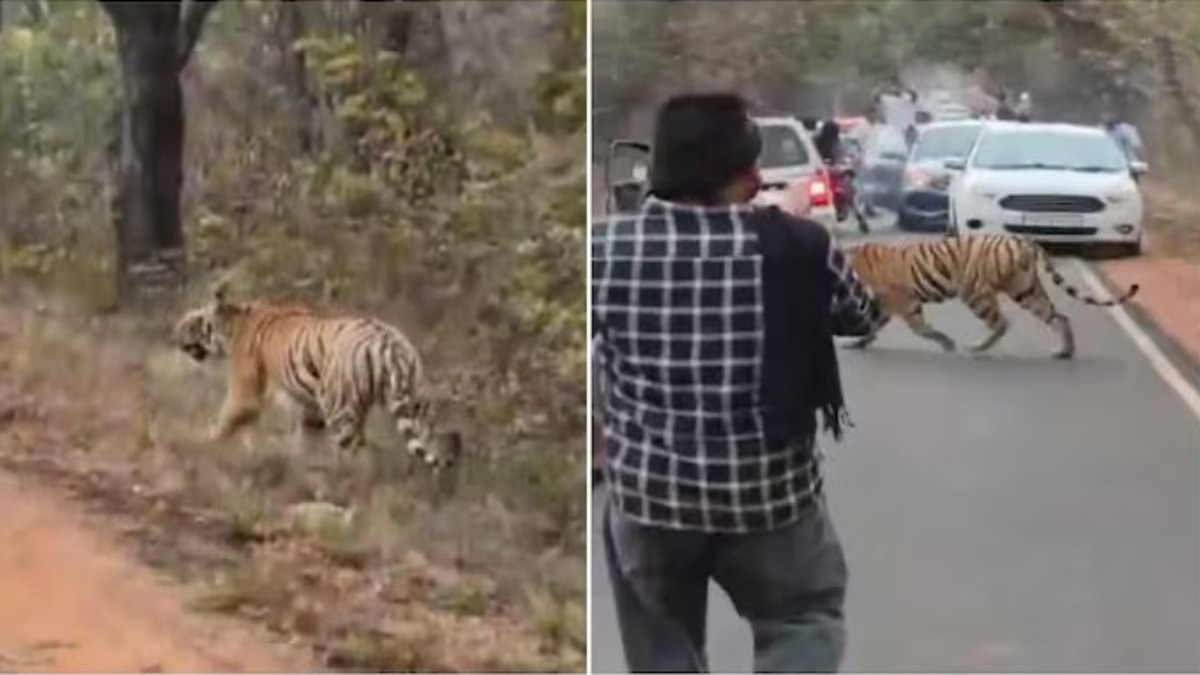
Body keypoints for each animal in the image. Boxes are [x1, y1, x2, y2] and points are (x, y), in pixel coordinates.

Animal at [172, 279, 462, 470]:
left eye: (192, 320)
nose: (174, 333)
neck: (235, 325)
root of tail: (390, 344)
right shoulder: (309, 409)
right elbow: (306, 441)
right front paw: (300, 467)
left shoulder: (245, 393)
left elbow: (224, 421)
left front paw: (200, 443)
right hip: (415, 402)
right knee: (430, 444)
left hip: (341, 410)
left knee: (358, 455)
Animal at [842, 233, 1139, 359]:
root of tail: (1023, 240)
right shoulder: (887, 303)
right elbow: (873, 324)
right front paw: (858, 343)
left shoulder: (903, 301)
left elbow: (921, 328)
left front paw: (947, 343)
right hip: (1026, 290)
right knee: (1059, 317)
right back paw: (1064, 352)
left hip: (975, 292)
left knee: (1001, 322)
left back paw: (976, 348)